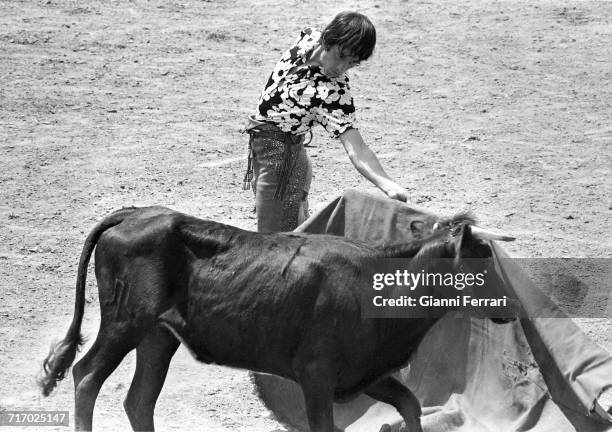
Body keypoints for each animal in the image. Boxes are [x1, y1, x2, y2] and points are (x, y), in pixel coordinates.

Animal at [38, 208, 512, 430]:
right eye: (482, 263)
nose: (510, 307)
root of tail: (136, 213)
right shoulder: (316, 377)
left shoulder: (367, 373)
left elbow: (411, 405)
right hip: (125, 323)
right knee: (86, 376)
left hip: (158, 335)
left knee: (139, 399)